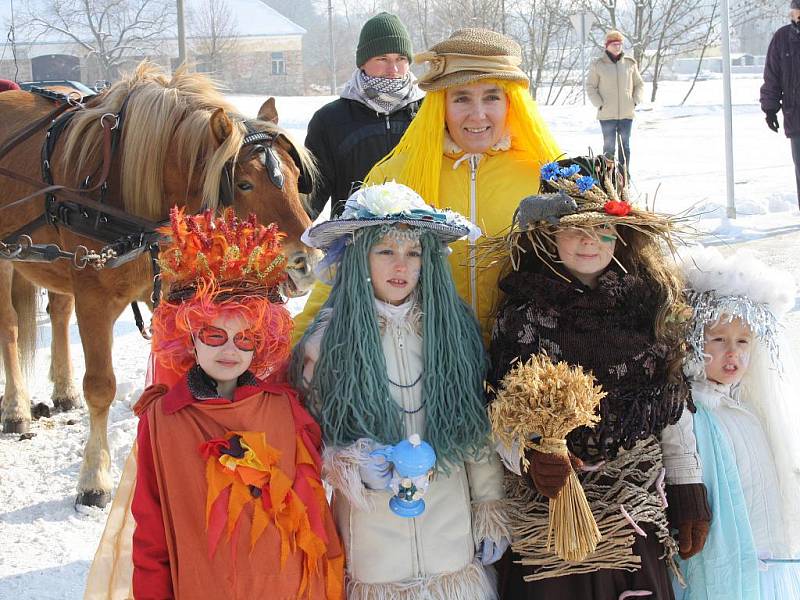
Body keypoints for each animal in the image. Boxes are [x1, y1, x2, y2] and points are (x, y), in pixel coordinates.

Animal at [0, 62, 318, 506]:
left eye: (292, 175)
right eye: (244, 184)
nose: (306, 262)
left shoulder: (167, 294)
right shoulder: (93, 298)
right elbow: (101, 387)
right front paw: (95, 479)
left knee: (58, 312)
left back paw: (62, 391)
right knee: (10, 327)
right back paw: (16, 409)